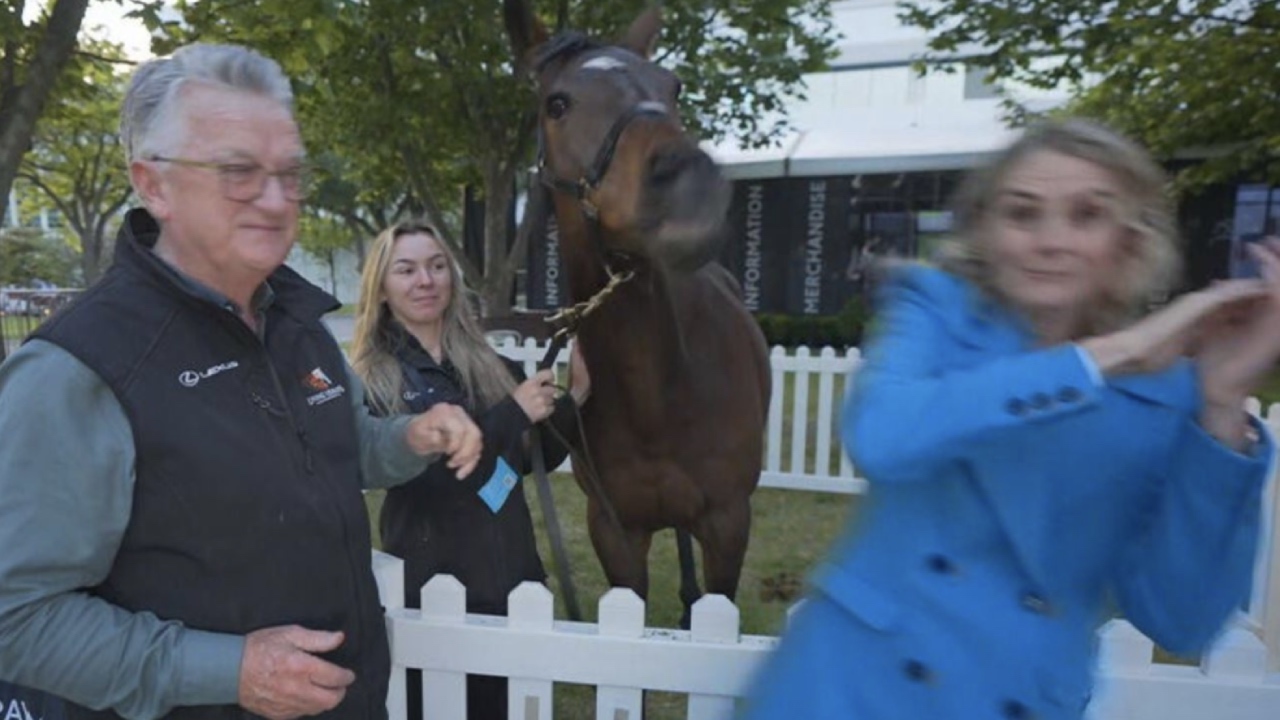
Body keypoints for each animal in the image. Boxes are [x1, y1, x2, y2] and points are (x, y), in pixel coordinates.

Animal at [504, 1, 768, 622]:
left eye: (673, 87)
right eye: (557, 103)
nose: (691, 190)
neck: (657, 396)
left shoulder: (729, 524)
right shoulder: (615, 530)